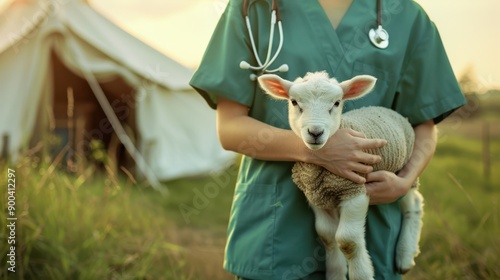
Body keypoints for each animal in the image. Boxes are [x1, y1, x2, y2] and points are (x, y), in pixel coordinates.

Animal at [258, 72, 426, 280]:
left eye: (337, 103)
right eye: (294, 102)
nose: (315, 132)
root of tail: (389, 110)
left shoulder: (355, 190)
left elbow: (347, 241)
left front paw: (362, 274)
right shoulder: (316, 196)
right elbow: (327, 236)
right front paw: (336, 273)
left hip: (401, 171)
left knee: (414, 203)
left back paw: (405, 255)